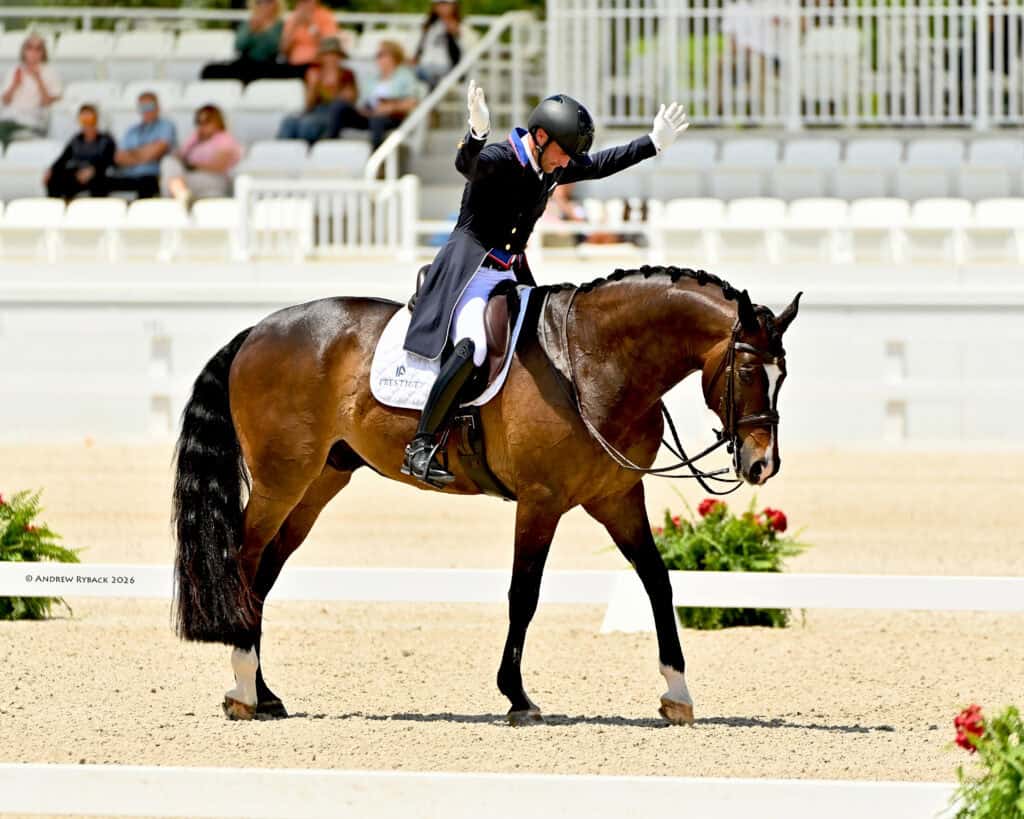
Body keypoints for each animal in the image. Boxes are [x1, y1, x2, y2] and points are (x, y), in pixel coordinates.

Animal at [172, 264, 801, 726]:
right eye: (749, 371)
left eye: (784, 376)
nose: (762, 465)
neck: (592, 363)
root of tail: (257, 331)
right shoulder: (542, 501)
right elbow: (524, 594)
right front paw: (518, 698)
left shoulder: (618, 497)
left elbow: (658, 582)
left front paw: (678, 694)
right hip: (282, 479)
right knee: (243, 561)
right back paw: (243, 692)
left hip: (319, 483)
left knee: (262, 577)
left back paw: (263, 693)